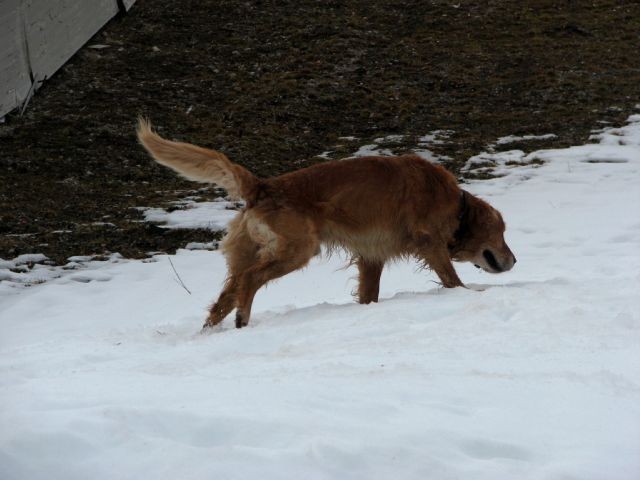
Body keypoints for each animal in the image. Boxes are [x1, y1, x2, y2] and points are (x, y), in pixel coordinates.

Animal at [139, 120, 516, 330]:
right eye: (501, 233)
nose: (514, 260)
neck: (454, 203)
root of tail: (263, 187)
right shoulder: (431, 244)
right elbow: (453, 280)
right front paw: (472, 295)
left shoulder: (371, 257)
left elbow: (368, 294)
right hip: (297, 250)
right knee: (249, 281)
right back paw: (243, 319)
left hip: (249, 254)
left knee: (224, 298)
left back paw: (209, 331)